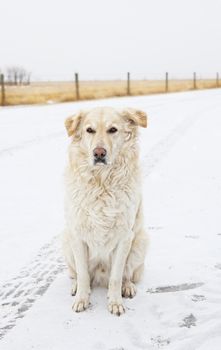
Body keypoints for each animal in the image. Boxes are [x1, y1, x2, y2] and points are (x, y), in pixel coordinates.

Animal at [62, 106, 148, 314]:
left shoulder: (124, 236)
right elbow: (83, 274)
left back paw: (127, 287)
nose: (99, 153)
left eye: (113, 130)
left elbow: (116, 277)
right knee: (76, 273)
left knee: (126, 274)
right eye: (89, 130)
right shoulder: (77, 235)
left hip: (140, 243)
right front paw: (81, 299)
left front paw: (115, 303)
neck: (101, 182)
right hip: (66, 241)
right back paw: (75, 286)